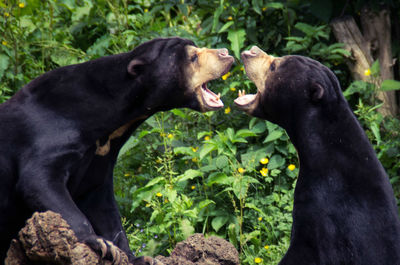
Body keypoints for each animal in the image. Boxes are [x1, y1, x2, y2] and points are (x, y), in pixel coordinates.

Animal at [0, 37, 234, 264]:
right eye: (194, 57)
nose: (226, 53)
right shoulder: (48, 135)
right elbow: (38, 181)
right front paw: (100, 244)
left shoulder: (100, 159)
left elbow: (103, 206)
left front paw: (138, 257)